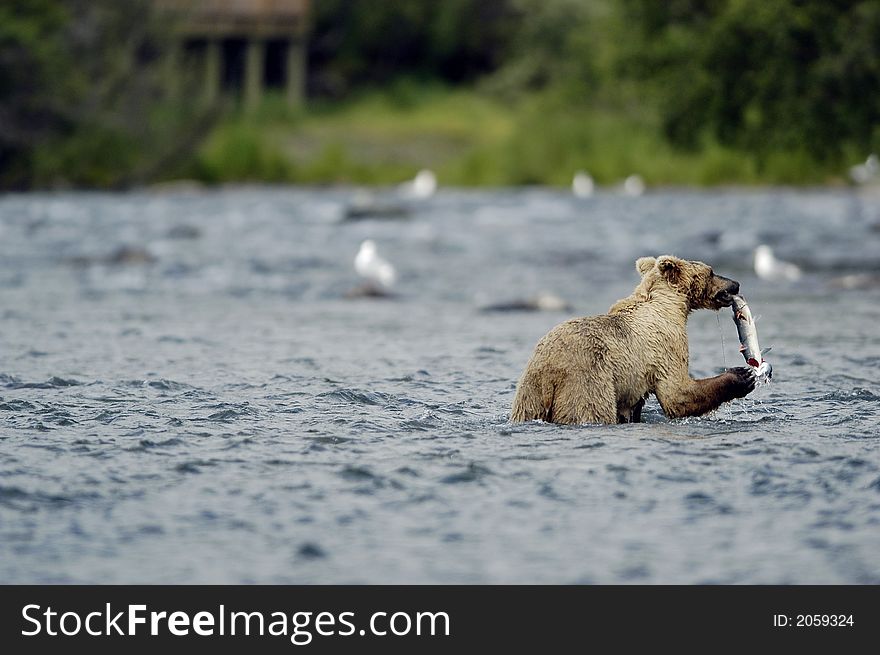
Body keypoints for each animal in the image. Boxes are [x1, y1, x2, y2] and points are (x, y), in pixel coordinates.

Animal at [508, 256, 756, 426]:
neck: (671, 305)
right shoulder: (665, 342)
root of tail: (550, 371)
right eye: (711, 271)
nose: (735, 284)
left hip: (529, 391)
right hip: (586, 379)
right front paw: (741, 376)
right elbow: (676, 393)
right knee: (591, 408)